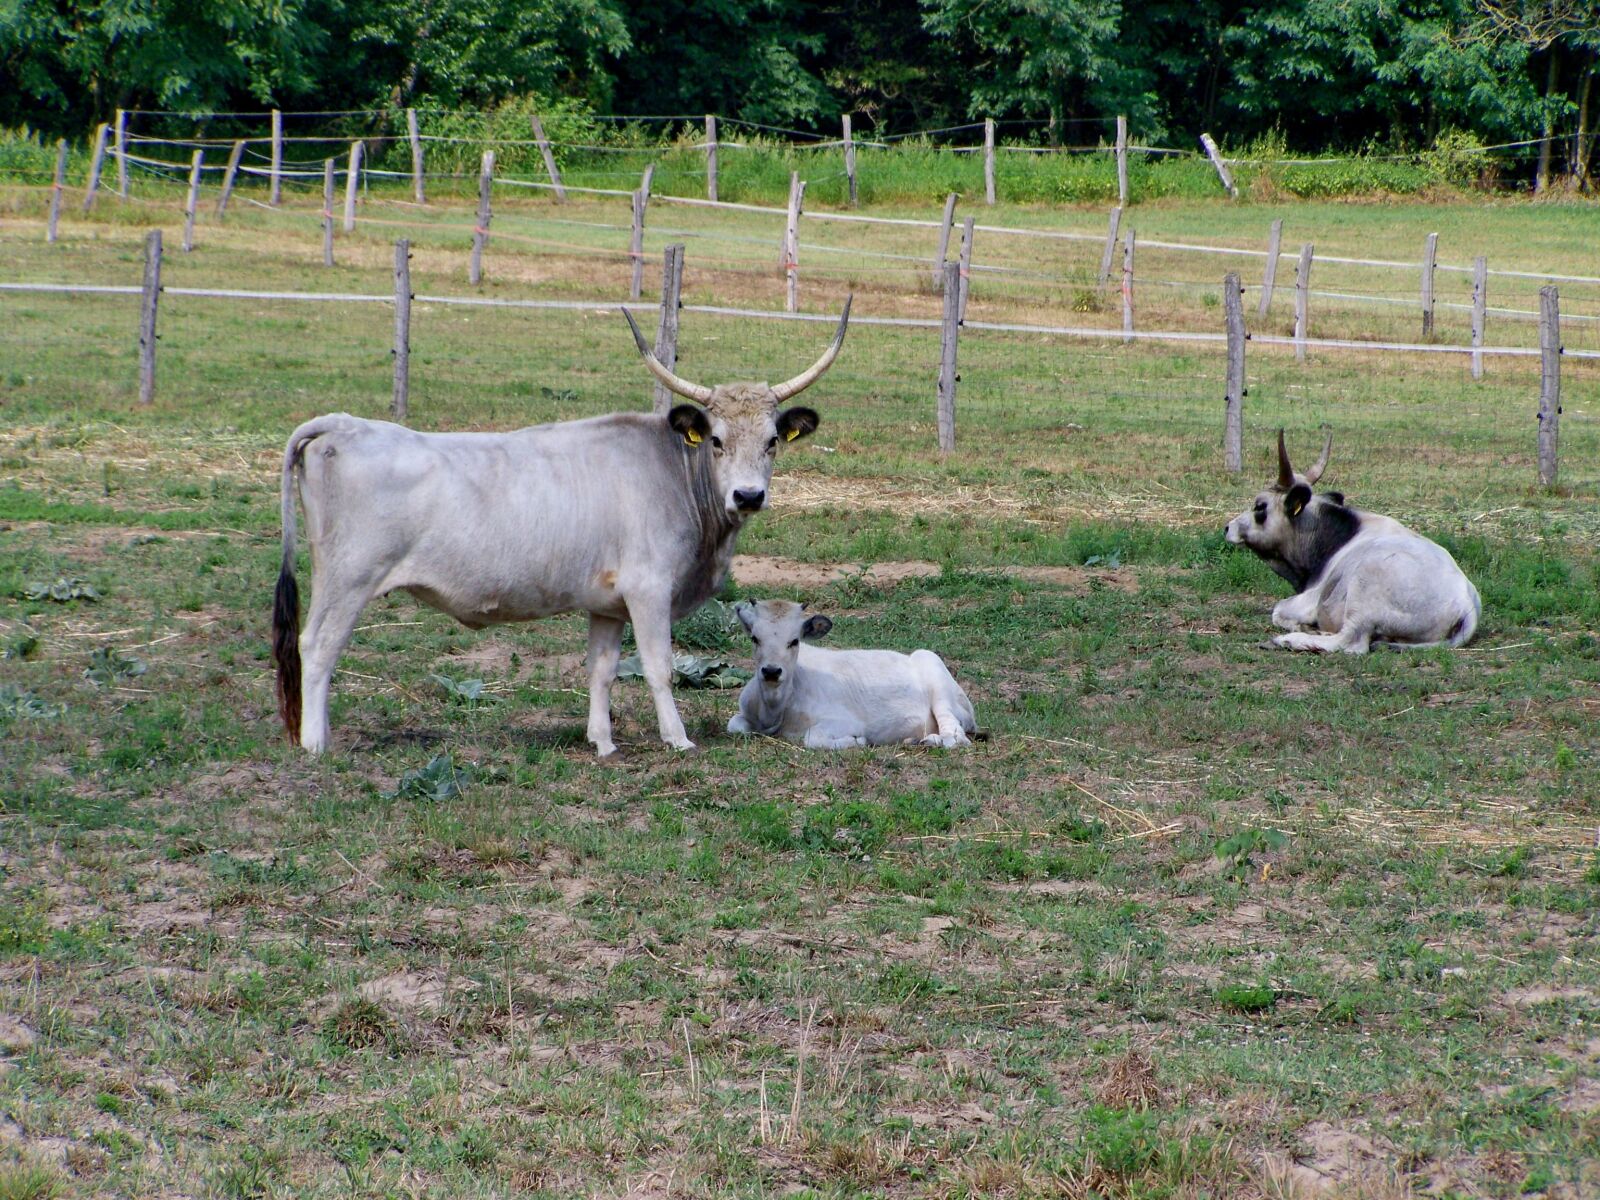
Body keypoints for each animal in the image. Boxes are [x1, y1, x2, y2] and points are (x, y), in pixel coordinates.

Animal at [272, 299, 851, 758]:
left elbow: (602, 669)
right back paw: (316, 743)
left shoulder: (608, 603)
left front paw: (603, 742)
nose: (748, 495)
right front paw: (678, 738)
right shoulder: (648, 589)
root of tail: (343, 424)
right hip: (348, 578)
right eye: (716, 440)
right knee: (317, 646)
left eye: (772, 440)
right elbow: (659, 666)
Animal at [725, 599, 978, 748]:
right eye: (755, 638)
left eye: (794, 640)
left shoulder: (845, 721)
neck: (775, 712)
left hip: (938, 684)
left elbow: (812, 739)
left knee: (957, 737)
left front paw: (857, 741)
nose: (771, 671)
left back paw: (930, 741)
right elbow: (734, 726)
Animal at [1224, 431, 1480, 653]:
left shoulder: (1309, 600)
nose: (1228, 527)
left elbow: (1277, 610)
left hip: (1364, 594)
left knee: (1351, 642)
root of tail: (1465, 604)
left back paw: (1288, 640)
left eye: (1260, 506)